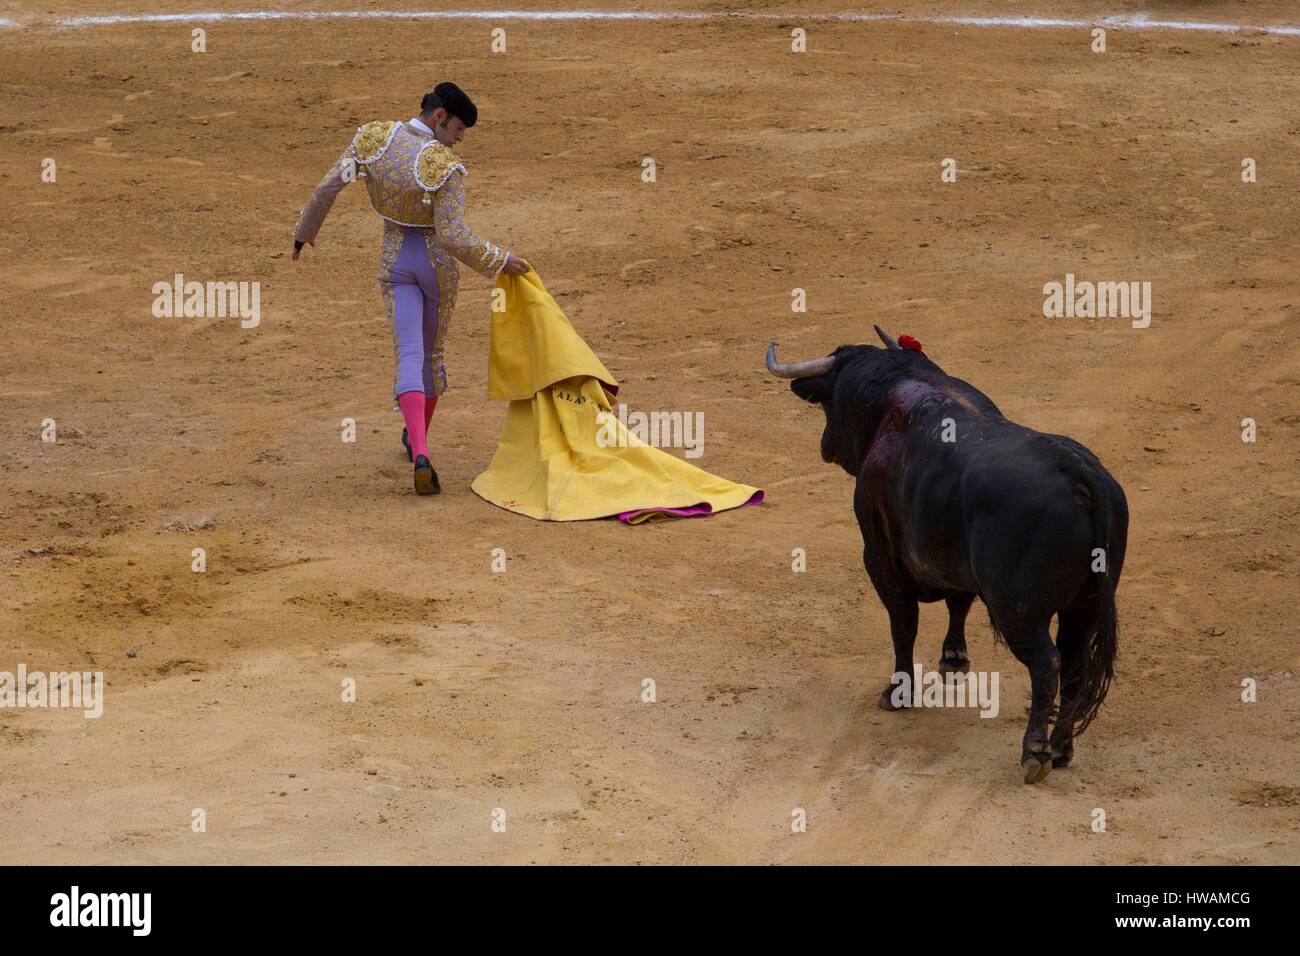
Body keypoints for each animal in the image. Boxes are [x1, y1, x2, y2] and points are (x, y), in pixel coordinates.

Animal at [769, 329, 1128, 785]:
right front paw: (954, 659)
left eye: (828, 401)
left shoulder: (880, 558)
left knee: (1047, 663)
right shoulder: (953, 562)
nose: (825, 446)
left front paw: (898, 692)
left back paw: (1034, 753)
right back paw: (1062, 749)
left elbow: (902, 625)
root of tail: (1081, 473)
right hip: (1085, 605)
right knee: (1076, 665)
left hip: (1018, 610)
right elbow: (958, 603)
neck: (898, 389)